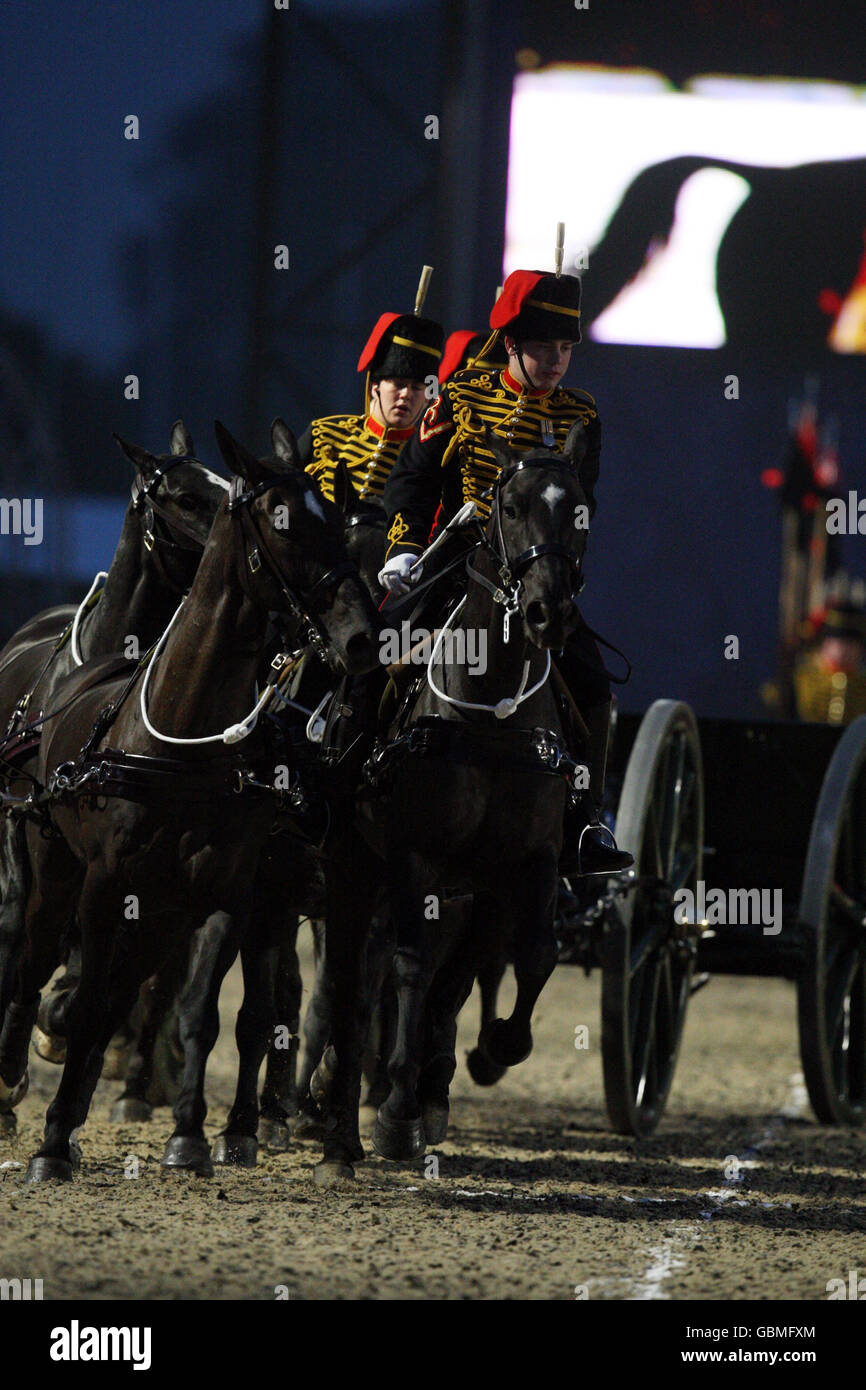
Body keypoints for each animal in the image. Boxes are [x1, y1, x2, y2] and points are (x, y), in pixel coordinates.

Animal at [0, 417, 378, 1178]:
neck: (178, 741)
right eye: (283, 524)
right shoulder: (106, 883)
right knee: (32, 960)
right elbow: (90, 997)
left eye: (335, 517)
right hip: (51, 865)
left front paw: (194, 1135)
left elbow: (204, 1009)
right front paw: (53, 1141)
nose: (360, 635)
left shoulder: (229, 888)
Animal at [315, 422, 600, 1184]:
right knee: (353, 976)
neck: (490, 713)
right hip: (356, 868)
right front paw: (394, 1115)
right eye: (512, 506)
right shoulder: (419, 856)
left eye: (581, 512)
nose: (547, 612)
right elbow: (412, 968)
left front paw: (495, 1049)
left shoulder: (526, 864)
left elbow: (530, 956)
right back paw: (338, 1110)